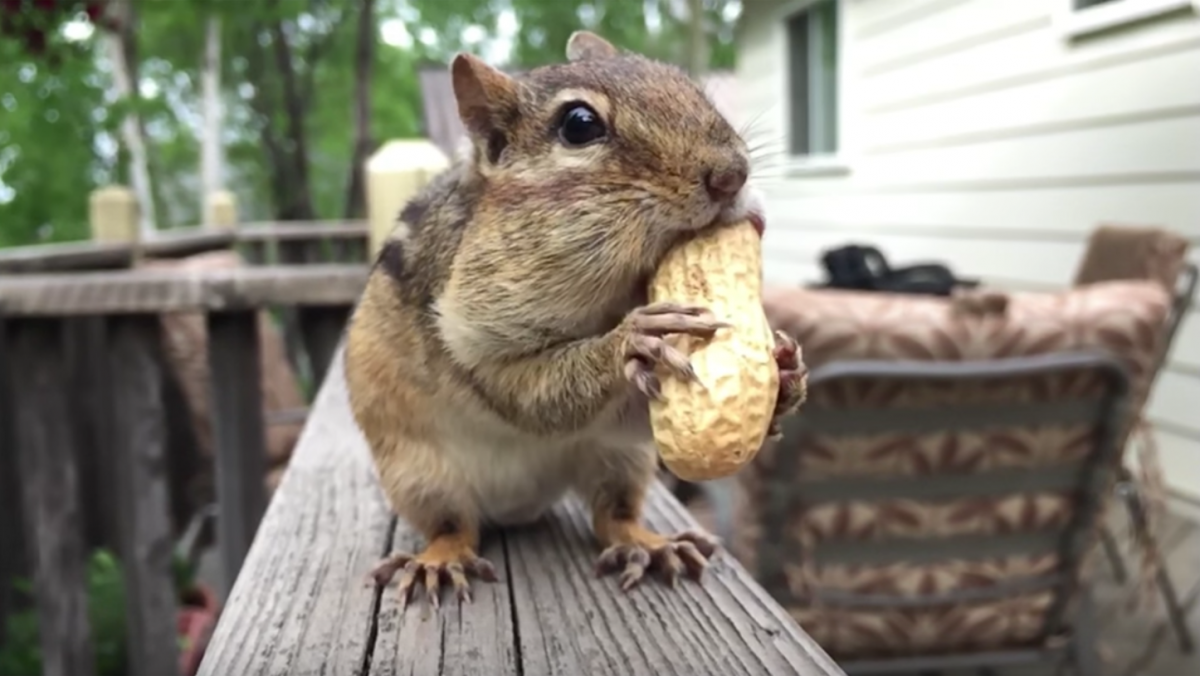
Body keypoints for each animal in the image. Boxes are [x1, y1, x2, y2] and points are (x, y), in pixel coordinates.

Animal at [344, 30, 807, 608]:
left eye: (687, 85)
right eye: (579, 125)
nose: (733, 176)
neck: (611, 299)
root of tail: (515, 504)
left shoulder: (627, 423)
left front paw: (787, 372)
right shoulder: (473, 337)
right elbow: (529, 391)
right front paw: (632, 342)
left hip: (621, 462)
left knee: (613, 516)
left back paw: (650, 545)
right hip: (419, 474)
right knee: (454, 526)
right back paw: (439, 560)